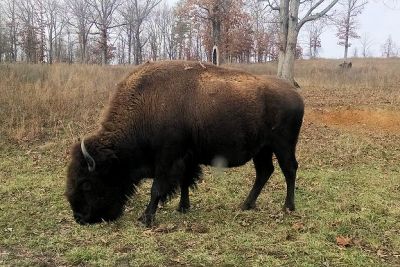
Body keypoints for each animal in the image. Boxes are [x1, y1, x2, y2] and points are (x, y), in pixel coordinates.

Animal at [65, 59, 304, 227]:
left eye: (86, 183)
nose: (80, 217)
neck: (146, 106)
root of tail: (295, 95)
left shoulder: (167, 159)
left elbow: (157, 188)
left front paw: (145, 218)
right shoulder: (187, 158)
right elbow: (184, 182)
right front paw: (182, 208)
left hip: (282, 145)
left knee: (289, 169)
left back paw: (288, 207)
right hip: (262, 149)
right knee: (265, 171)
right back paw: (246, 205)